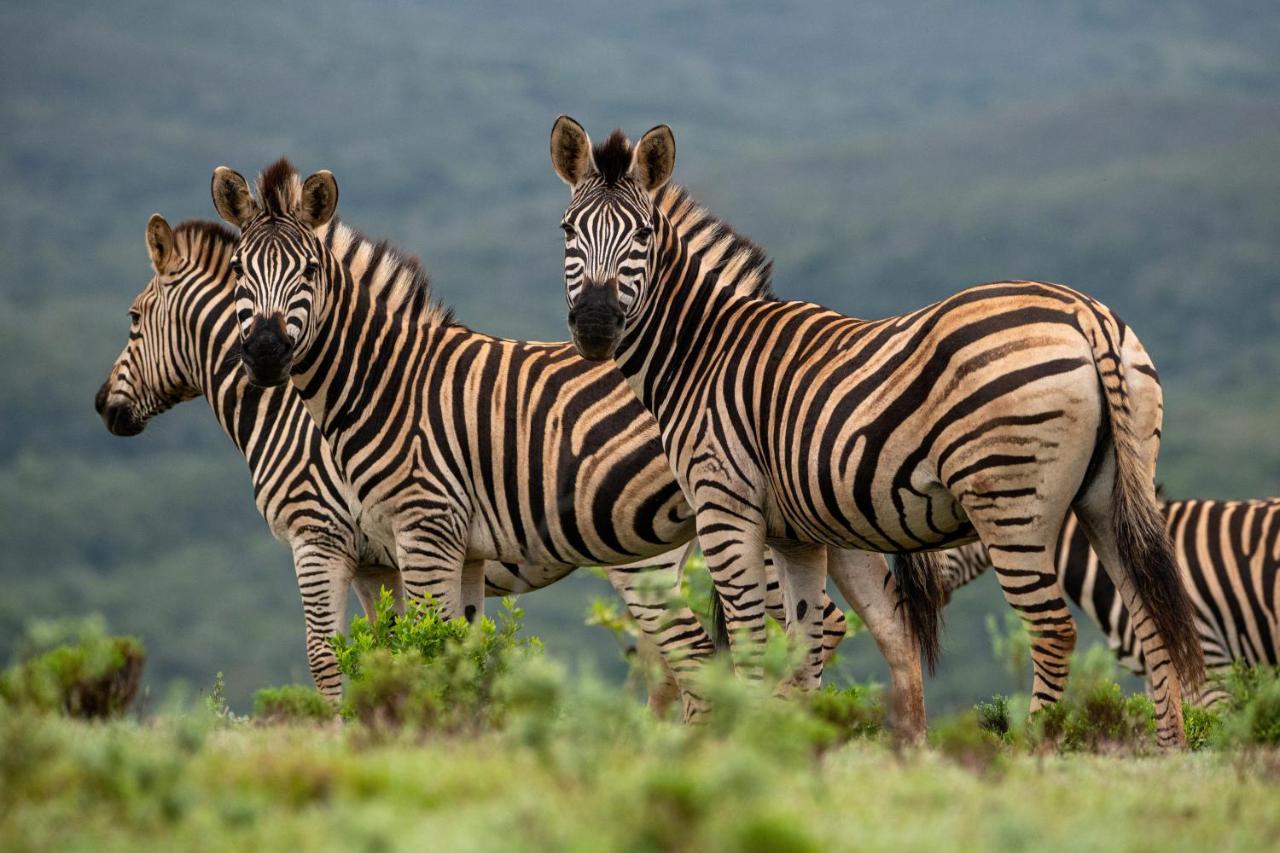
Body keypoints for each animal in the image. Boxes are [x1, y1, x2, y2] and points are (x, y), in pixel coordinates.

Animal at [207, 161, 931, 732]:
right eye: (241, 270)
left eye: (307, 269)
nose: (264, 355)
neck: (382, 375)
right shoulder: (391, 554)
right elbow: (411, 651)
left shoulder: (338, 536)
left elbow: (354, 655)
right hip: (822, 508)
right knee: (879, 629)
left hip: (667, 545)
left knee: (730, 644)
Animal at [545, 119, 1203, 742]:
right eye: (568, 231)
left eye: (643, 236)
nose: (596, 325)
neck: (703, 348)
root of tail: (1084, 314)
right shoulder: (796, 533)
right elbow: (803, 640)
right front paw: (793, 742)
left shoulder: (724, 505)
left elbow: (755, 639)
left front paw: (744, 737)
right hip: (1108, 495)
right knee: (1151, 617)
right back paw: (1167, 749)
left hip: (1010, 501)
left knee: (1054, 629)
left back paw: (1033, 744)